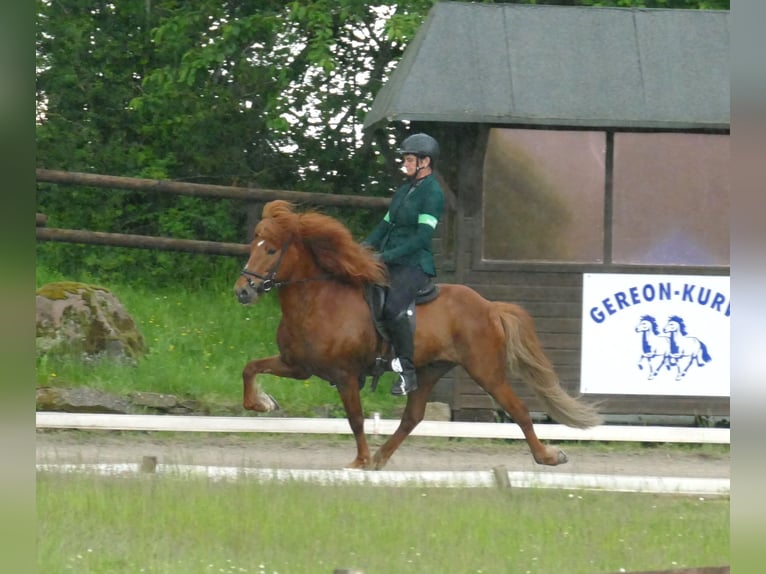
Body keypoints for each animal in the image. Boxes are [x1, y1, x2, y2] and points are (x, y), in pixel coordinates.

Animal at [231, 200, 604, 470]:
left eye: (271, 250)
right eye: (253, 245)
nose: (242, 292)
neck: (317, 301)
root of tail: (489, 306)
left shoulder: (344, 374)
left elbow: (355, 418)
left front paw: (358, 461)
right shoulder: (298, 366)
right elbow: (250, 368)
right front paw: (263, 403)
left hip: (486, 370)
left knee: (519, 409)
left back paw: (548, 456)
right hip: (429, 370)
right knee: (413, 417)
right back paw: (380, 459)